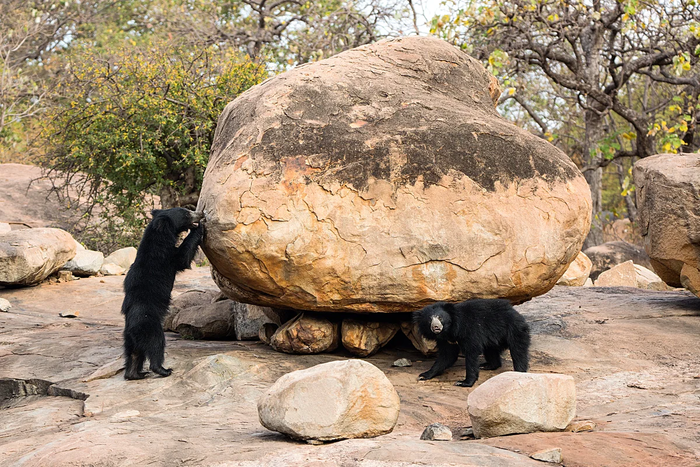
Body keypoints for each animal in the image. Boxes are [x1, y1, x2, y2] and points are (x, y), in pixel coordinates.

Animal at [121, 208, 205, 380]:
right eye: (186, 213)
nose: (200, 214)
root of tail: (132, 329)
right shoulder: (165, 258)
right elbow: (183, 257)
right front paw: (199, 227)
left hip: (130, 340)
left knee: (134, 354)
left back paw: (135, 374)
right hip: (150, 327)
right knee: (156, 345)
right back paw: (163, 370)